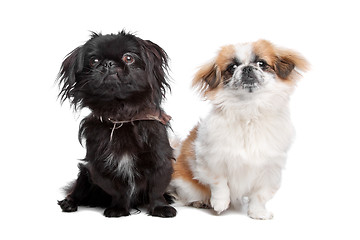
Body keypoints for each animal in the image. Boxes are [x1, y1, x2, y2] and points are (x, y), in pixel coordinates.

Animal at [56, 31, 177, 218]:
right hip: (84, 175)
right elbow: (118, 190)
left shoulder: (160, 159)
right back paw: (69, 203)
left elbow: (156, 189)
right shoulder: (100, 167)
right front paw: (119, 209)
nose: (108, 63)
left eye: (128, 58)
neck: (121, 116)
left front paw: (160, 208)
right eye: (93, 60)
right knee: (76, 192)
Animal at [169, 39, 310, 219]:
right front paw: (220, 204)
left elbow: (261, 195)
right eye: (232, 67)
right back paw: (201, 202)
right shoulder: (211, 159)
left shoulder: (270, 169)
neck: (249, 110)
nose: (247, 68)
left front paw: (258, 213)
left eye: (261, 63)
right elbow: (220, 184)